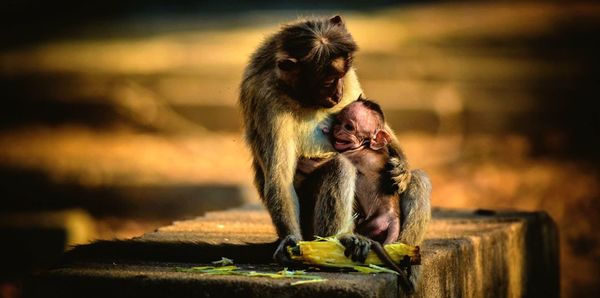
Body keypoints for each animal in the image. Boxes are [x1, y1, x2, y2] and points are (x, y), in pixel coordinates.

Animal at [237, 15, 428, 286]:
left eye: (340, 77)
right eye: (327, 81)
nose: (338, 94)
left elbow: (385, 132)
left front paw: (401, 168)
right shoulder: (265, 97)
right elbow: (280, 176)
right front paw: (290, 239)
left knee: (418, 178)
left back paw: (404, 256)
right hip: (314, 228)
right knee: (339, 167)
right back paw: (343, 240)